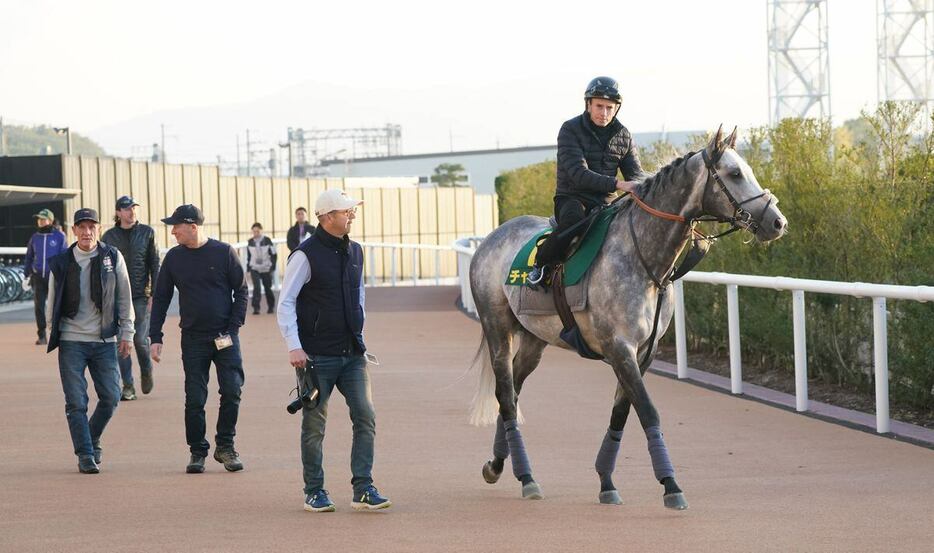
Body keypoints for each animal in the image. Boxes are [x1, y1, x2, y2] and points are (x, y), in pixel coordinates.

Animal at [472, 126, 788, 508]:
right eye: (735, 173)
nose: (777, 222)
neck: (643, 260)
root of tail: (492, 238)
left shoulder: (643, 352)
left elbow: (621, 413)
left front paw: (607, 482)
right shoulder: (619, 348)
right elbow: (647, 410)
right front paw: (671, 484)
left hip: (534, 339)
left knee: (514, 393)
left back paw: (498, 465)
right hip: (497, 329)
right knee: (505, 394)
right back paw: (526, 476)